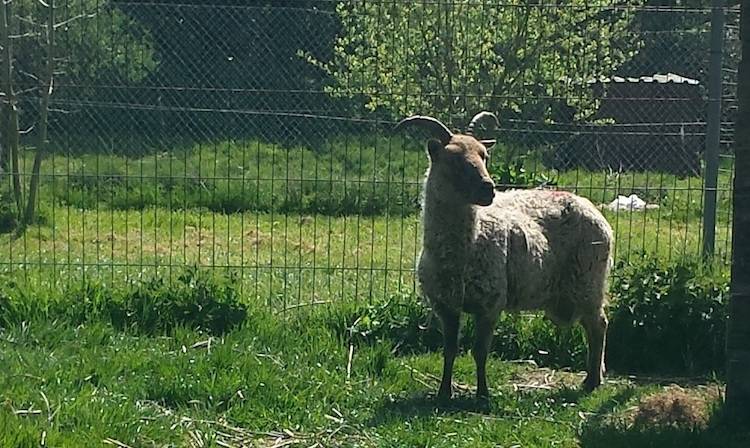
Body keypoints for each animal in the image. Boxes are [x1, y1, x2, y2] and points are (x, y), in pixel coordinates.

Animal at [394, 112, 614, 400]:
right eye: (452, 158)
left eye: (484, 156)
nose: (488, 188)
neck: (465, 247)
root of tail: (592, 208)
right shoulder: (446, 306)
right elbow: (450, 350)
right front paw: (444, 393)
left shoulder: (490, 303)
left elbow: (480, 352)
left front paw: (483, 395)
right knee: (594, 325)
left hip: (588, 282)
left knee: (599, 325)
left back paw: (592, 380)